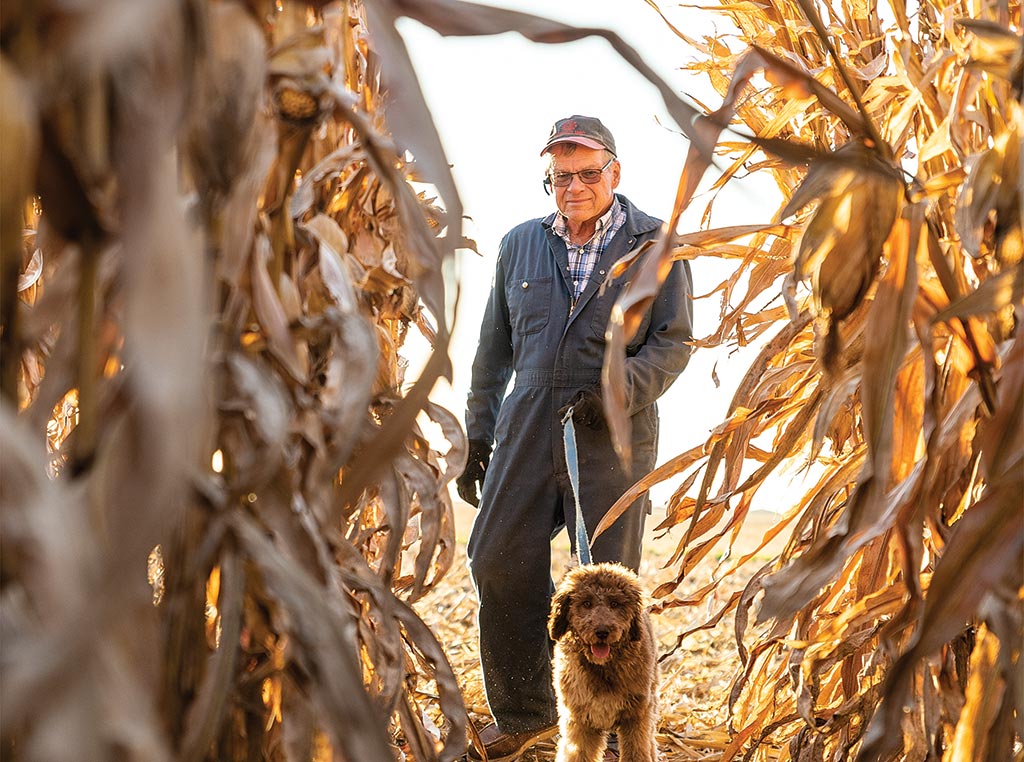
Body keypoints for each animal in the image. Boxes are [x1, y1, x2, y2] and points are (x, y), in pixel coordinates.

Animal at [548, 561, 659, 762]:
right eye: (586, 603)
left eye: (615, 604)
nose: (602, 632)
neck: (603, 667)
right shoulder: (580, 720)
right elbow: (578, 753)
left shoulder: (636, 716)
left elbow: (636, 751)